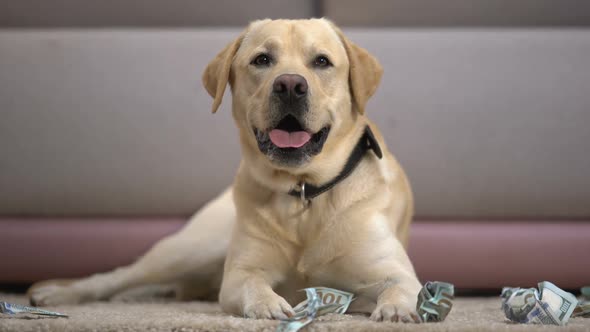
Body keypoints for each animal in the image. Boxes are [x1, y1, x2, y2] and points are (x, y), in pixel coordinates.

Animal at [28, 17, 426, 322]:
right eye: (262, 59)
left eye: (322, 62)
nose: (290, 84)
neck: (303, 193)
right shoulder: (239, 273)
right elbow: (252, 285)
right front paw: (268, 305)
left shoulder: (395, 272)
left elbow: (402, 289)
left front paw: (396, 311)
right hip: (192, 248)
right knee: (117, 277)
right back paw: (57, 295)